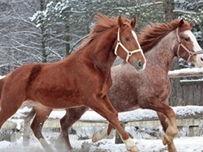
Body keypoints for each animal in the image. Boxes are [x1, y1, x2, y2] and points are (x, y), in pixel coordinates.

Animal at [0, 13, 147, 152]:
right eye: (127, 38)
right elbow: (111, 116)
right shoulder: (91, 100)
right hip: (10, 106)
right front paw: (131, 145)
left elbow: (115, 114)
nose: (141, 63)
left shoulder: (103, 96)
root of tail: (8, 77)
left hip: (43, 108)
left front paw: (96, 136)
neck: (92, 65)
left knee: (36, 127)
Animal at [19, 18, 203, 152]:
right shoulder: (147, 101)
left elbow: (169, 127)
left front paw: (167, 140)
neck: (153, 67)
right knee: (62, 125)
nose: (201, 59)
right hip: (76, 109)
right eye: (186, 38)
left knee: (58, 126)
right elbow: (171, 116)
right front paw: (163, 139)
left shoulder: (161, 102)